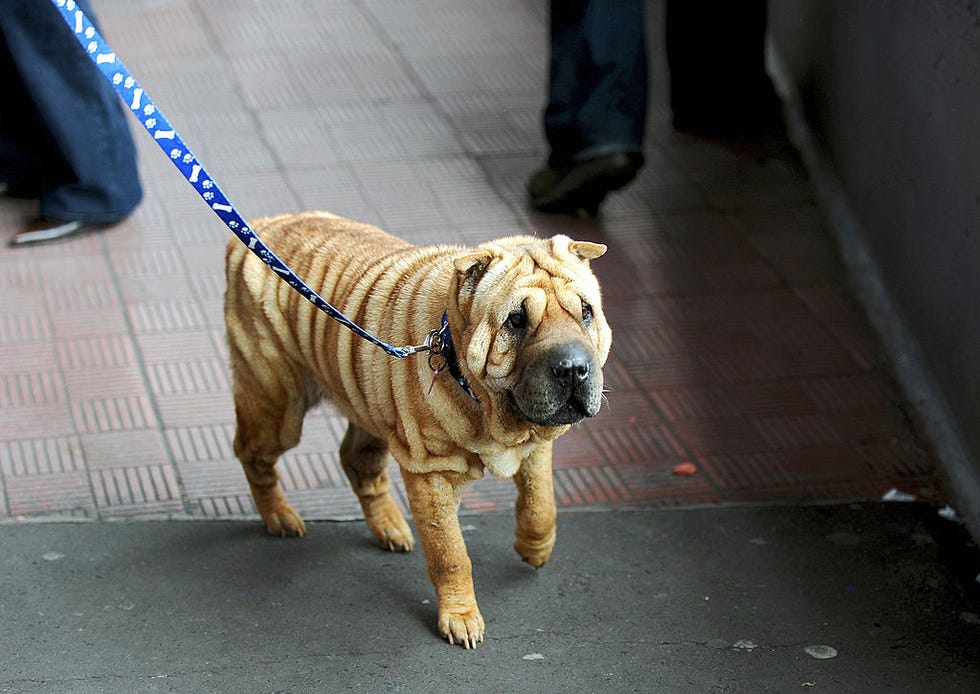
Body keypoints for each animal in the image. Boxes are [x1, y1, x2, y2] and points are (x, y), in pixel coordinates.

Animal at [226, 211, 612, 648]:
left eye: (586, 311)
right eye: (516, 320)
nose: (573, 369)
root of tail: (261, 224)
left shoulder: (536, 446)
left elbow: (542, 505)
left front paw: (535, 550)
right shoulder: (431, 472)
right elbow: (450, 553)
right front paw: (461, 619)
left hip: (370, 402)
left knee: (356, 460)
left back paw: (390, 527)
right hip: (277, 407)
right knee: (252, 454)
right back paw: (280, 516)